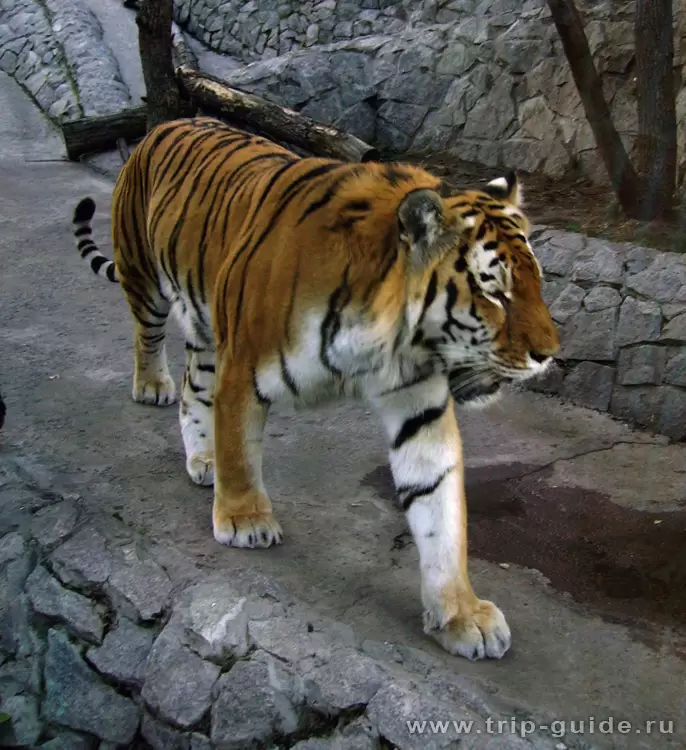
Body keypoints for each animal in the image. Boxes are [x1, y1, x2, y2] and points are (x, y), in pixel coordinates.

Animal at [71, 116, 559, 661]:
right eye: (495, 292)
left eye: (536, 283)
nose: (549, 354)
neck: (390, 338)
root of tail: (165, 124)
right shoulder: (242, 363)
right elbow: (241, 448)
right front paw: (244, 520)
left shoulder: (418, 404)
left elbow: (440, 506)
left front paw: (462, 613)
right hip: (146, 278)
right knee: (148, 337)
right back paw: (152, 385)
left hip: (205, 326)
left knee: (194, 390)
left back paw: (204, 458)